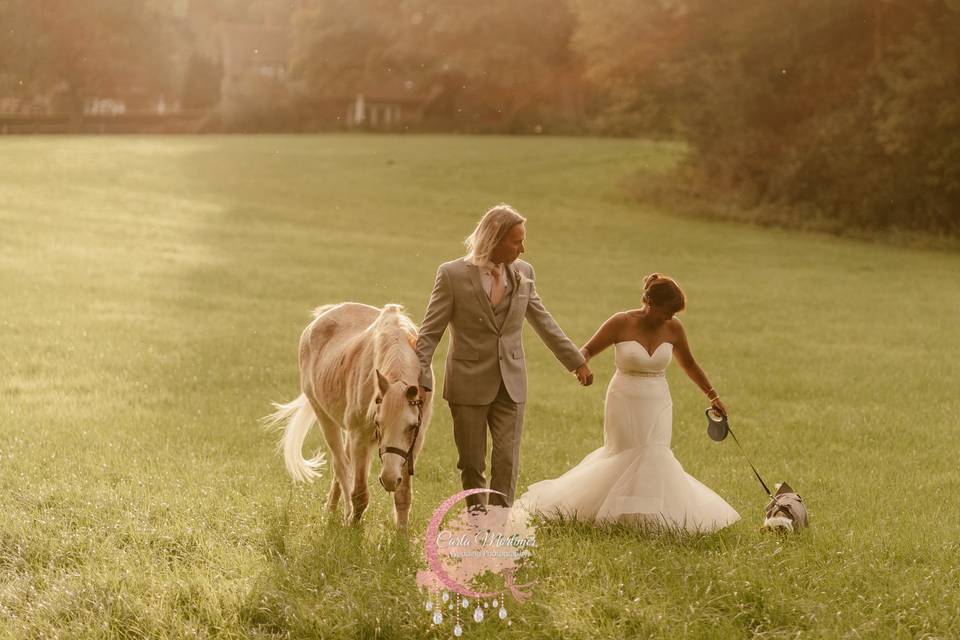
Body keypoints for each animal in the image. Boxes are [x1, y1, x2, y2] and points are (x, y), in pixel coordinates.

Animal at [258, 302, 432, 528]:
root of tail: (321, 316)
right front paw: (352, 525)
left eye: (411, 427)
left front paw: (401, 533)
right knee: (341, 466)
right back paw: (338, 512)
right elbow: (360, 492)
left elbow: (403, 495)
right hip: (324, 416)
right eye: (378, 423)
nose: (389, 479)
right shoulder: (361, 437)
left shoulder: (414, 443)